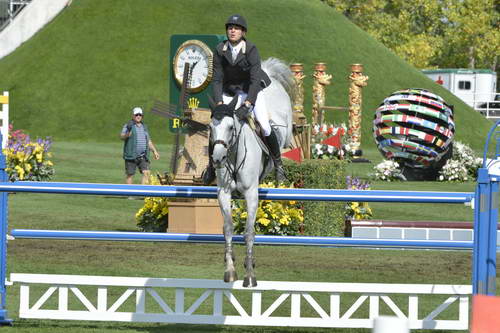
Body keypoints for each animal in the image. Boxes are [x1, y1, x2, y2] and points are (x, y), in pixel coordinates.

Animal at [208, 57, 294, 286]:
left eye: (231, 127)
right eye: (210, 128)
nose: (217, 159)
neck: (233, 153)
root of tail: (270, 75)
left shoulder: (251, 194)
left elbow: (248, 232)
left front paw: (249, 274)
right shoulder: (223, 193)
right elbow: (228, 229)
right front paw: (230, 269)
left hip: (284, 126)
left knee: (277, 134)